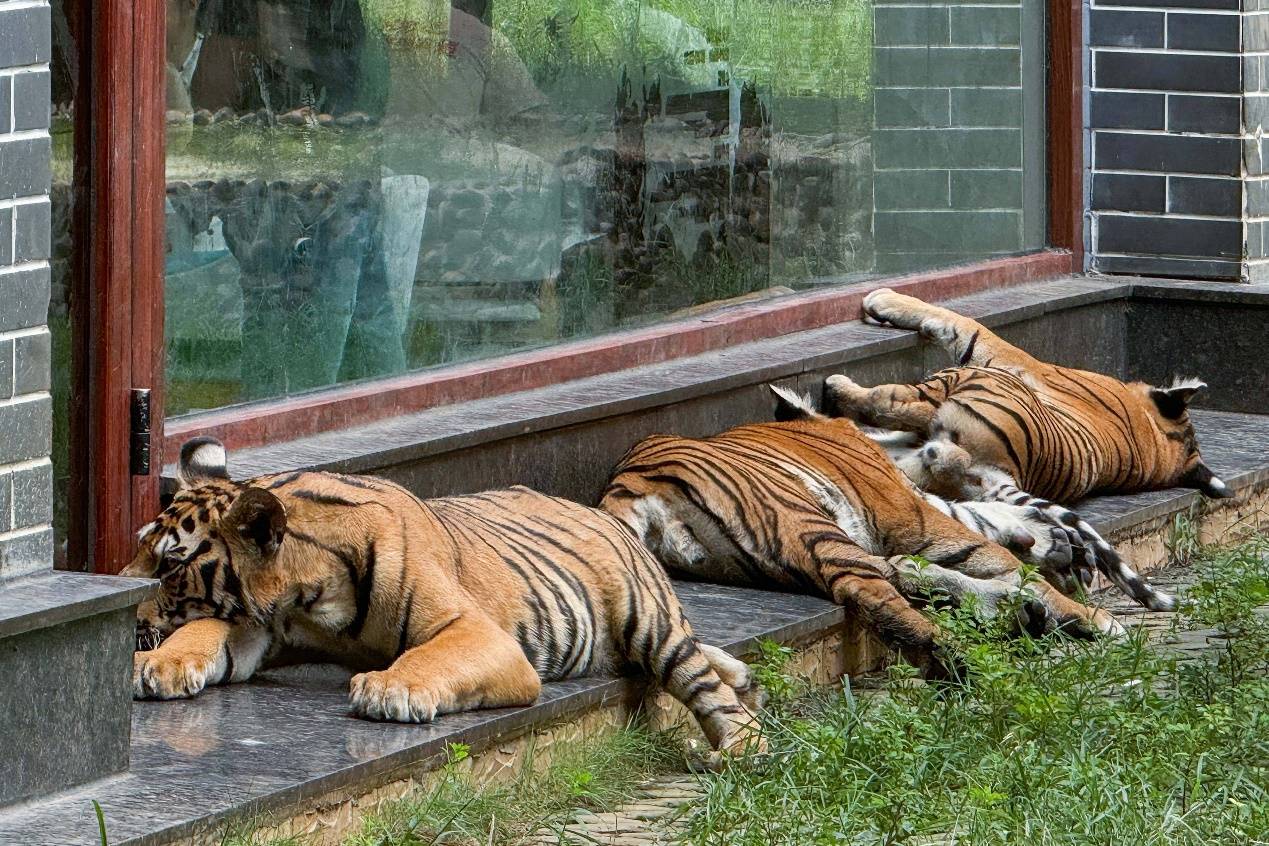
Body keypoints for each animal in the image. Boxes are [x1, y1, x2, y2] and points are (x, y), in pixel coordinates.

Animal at [123, 436, 761, 761]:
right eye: (142, 548)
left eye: (171, 565)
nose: (129, 616)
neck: (309, 595)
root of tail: (604, 512)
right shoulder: (262, 627)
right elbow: (207, 631)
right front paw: (156, 664)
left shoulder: (480, 633)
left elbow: (432, 657)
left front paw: (390, 688)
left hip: (650, 621)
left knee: (705, 685)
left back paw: (741, 745)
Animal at [596, 393, 1121, 684]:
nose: (942, 453)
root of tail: (626, 489)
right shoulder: (909, 512)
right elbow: (990, 548)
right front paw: (1090, 612)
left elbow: (981, 517)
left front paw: (1048, 538)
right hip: (807, 525)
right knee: (872, 591)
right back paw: (969, 654)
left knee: (894, 574)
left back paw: (1008, 610)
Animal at [822, 287, 1228, 611]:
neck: (1153, 441)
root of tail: (1001, 473)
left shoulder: (1012, 360)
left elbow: (964, 323)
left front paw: (882, 299)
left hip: (971, 379)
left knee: (896, 404)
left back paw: (838, 388)